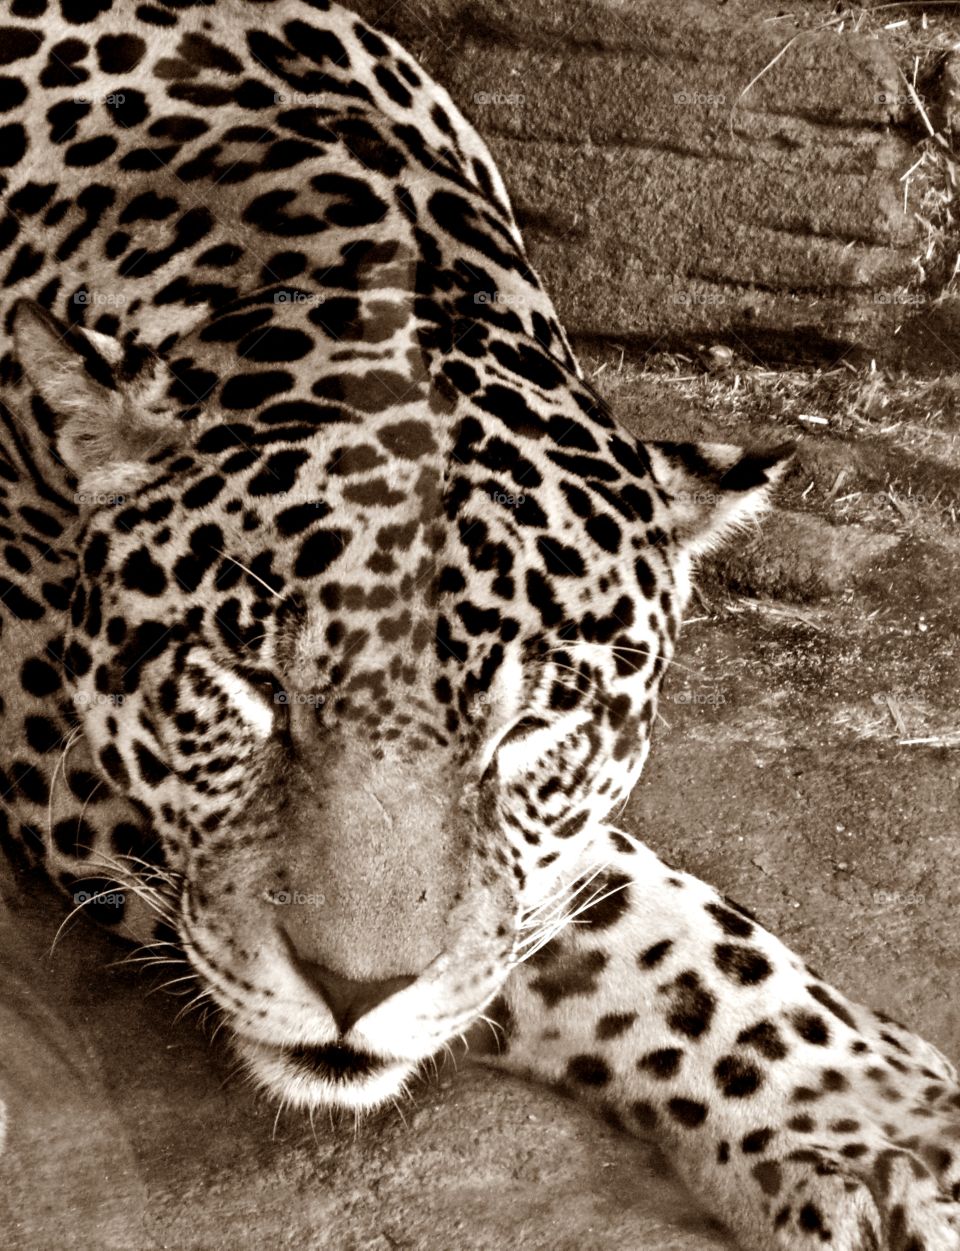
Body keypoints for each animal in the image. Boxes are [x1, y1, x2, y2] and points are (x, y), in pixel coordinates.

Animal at [0, 2, 958, 1248]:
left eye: (529, 733)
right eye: (251, 687)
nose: (353, 992)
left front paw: (871, 1121)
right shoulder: (36, 706)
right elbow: (624, 929)